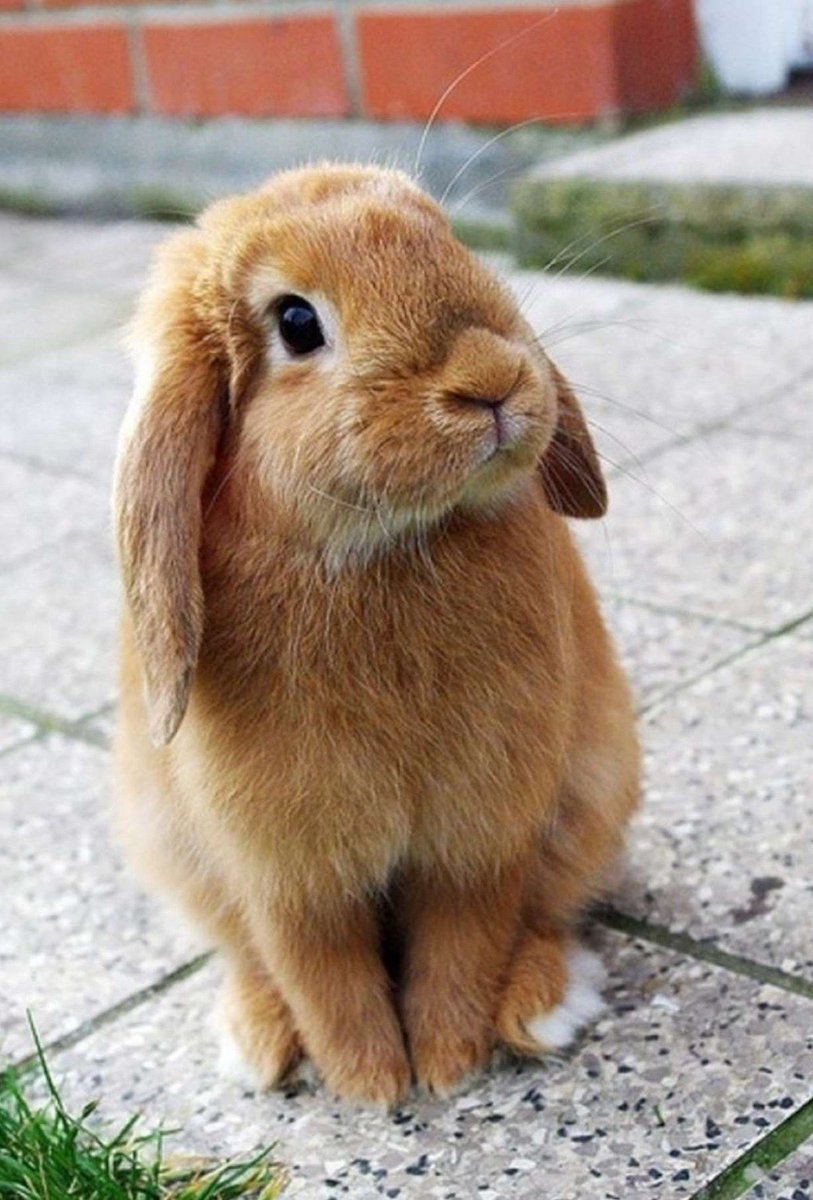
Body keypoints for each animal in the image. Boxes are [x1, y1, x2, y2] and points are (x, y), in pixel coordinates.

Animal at [112, 162, 640, 1107]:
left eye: (449, 243)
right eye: (295, 321)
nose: (491, 379)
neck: (388, 550)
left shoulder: (479, 838)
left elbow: (463, 944)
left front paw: (447, 1067)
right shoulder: (288, 875)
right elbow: (321, 972)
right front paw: (370, 1083)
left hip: (592, 797)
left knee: (543, 917)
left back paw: (541, 1007)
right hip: (177, 854)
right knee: (251, 959)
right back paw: (258, 1041)